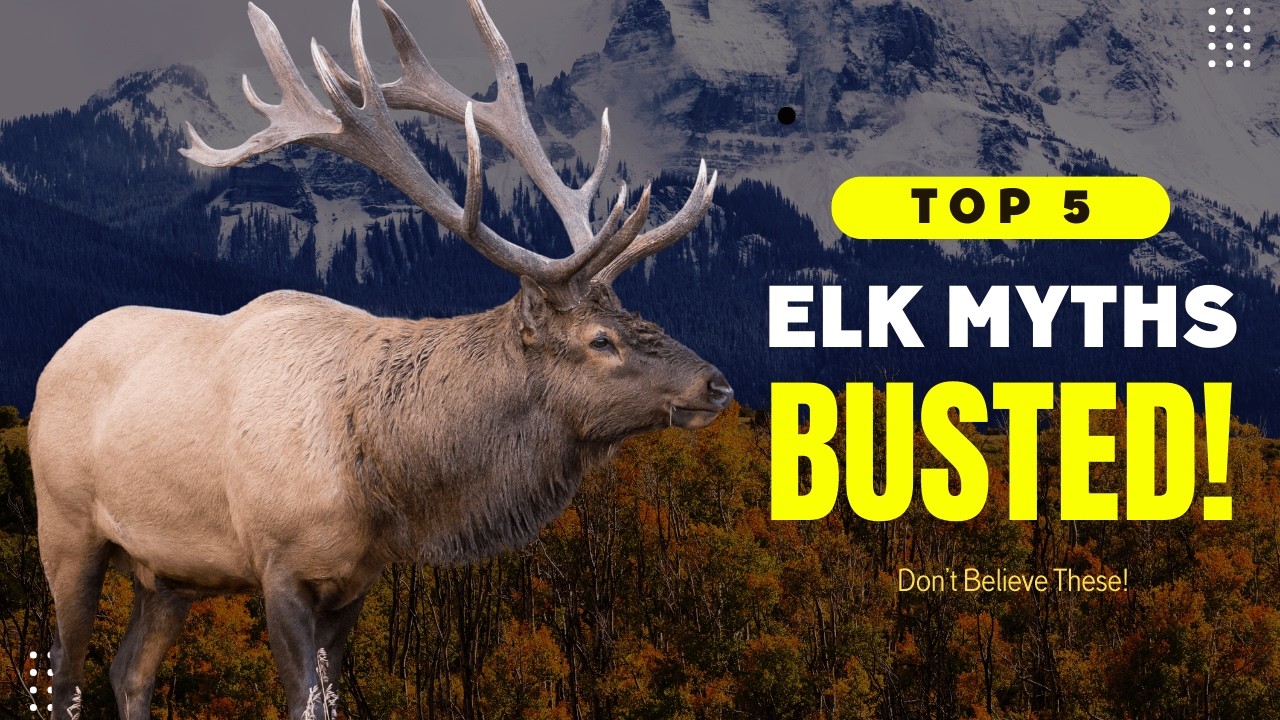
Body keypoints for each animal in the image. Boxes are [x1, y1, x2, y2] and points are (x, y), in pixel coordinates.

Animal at [28, 1, 731, 718]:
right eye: (600, 341)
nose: (716, 383)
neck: (378, 476)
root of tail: (51, 364)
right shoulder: (277, 563)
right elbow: (304, 701)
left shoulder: (356, 581)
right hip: (65, 527)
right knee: (65, 669)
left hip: (169, 573)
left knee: (128, 671)